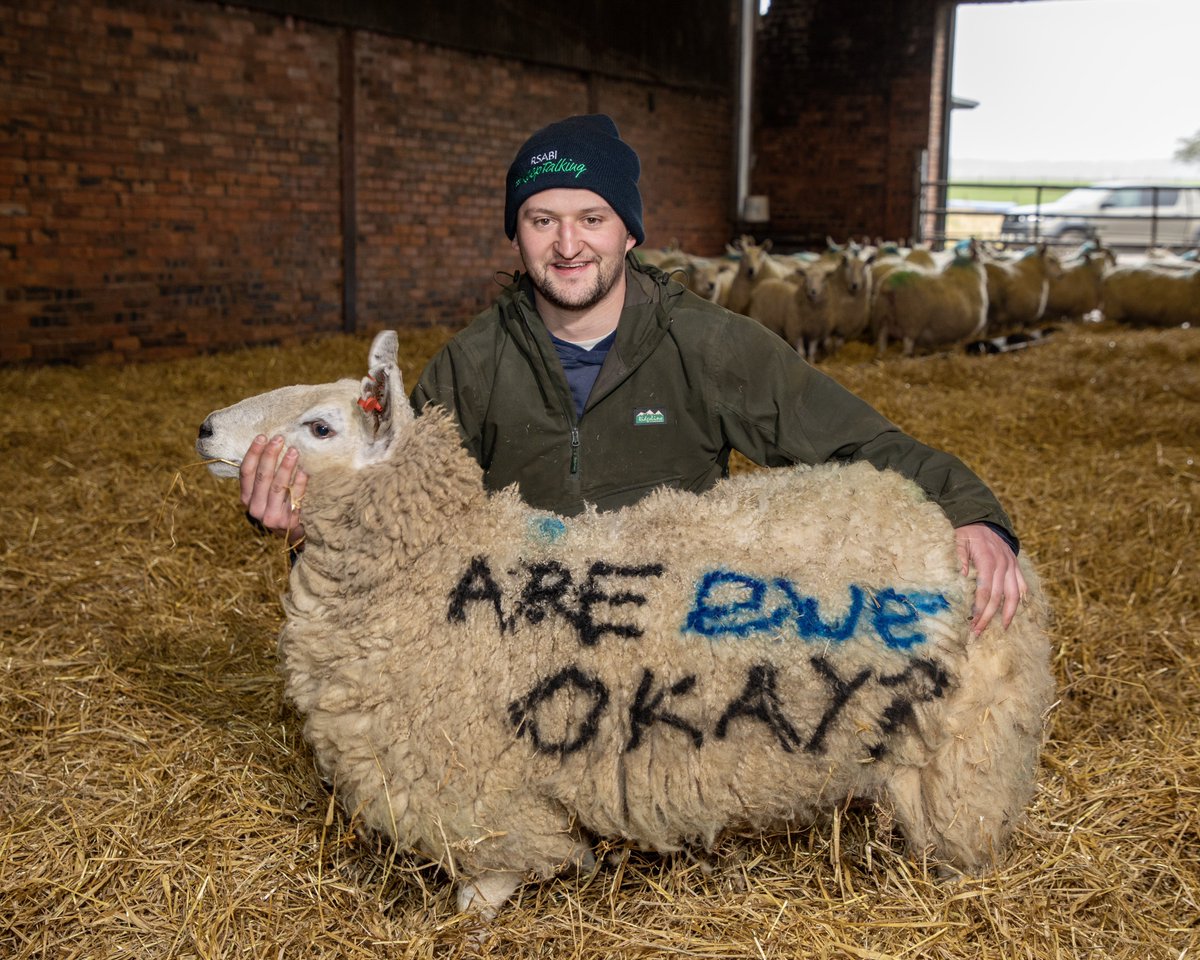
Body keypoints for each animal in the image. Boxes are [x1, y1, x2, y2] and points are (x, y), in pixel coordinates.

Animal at [199, 331, 1060, 921]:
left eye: (318, 428)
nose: (207, 428)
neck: (431, 566)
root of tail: (953, 529)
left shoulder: (474, 786)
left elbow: (495, 870)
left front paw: (472, 916)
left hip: (965, 752)